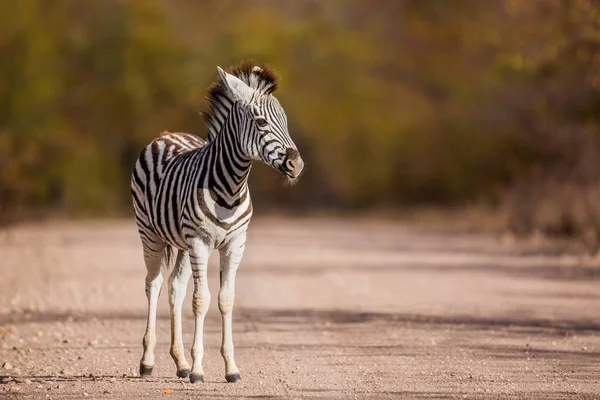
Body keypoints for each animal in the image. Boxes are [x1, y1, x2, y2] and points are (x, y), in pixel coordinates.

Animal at [129, 61, 302, 382]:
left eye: (285, 122)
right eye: (261, 122)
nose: (296, 165)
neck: (231, 188)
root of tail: (166, 134)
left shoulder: (235, 243)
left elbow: (225, 299)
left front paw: (230, 368)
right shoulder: (200, 243)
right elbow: (201, 301)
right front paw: (199, 370)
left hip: (180, 243)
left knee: (175, 288)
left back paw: (180, 362)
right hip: (150, 234)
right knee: (153, 284)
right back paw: (148, 361)